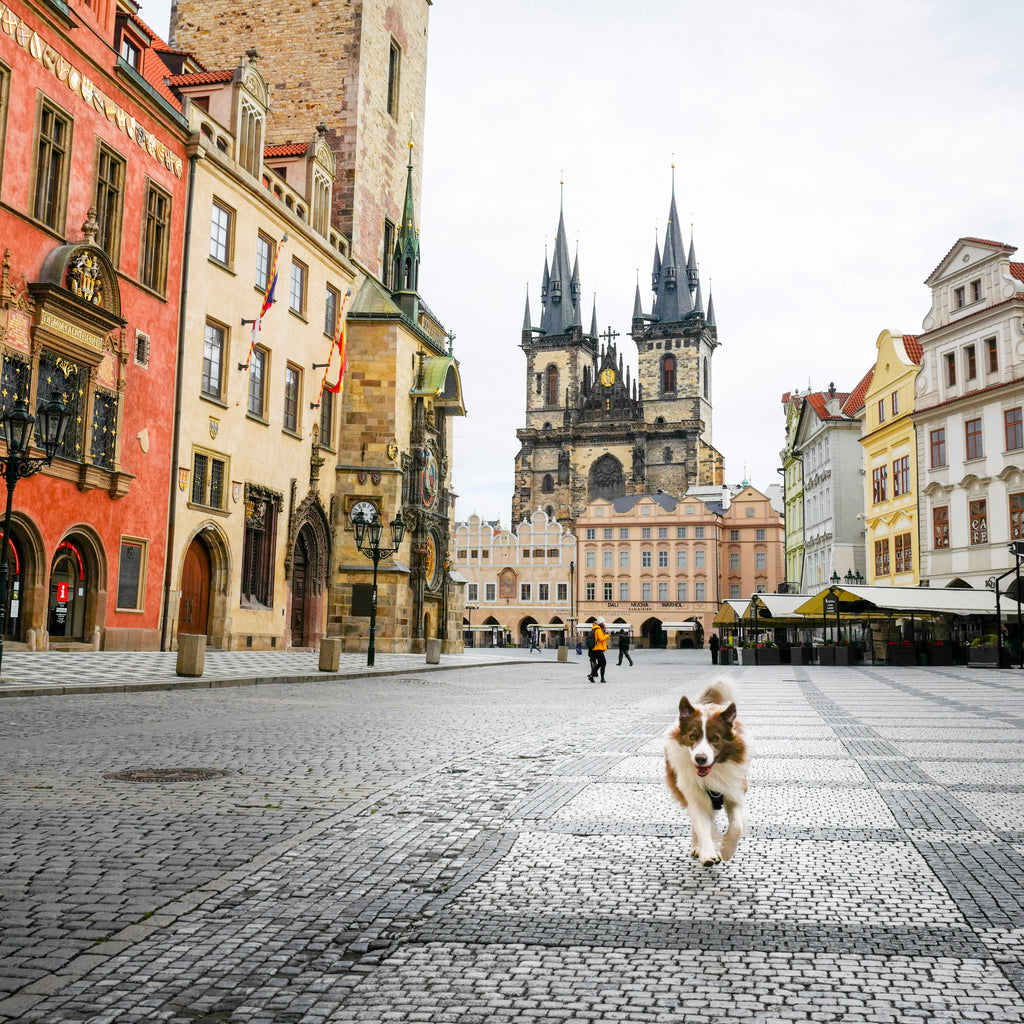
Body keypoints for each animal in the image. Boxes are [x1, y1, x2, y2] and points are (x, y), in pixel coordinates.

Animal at [659, 679, 749, 864]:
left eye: (715, 739)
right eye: (693, 737)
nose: (700, 758)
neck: (713, 773)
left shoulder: (734, 789)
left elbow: (736, 826)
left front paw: (727, 849)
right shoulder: (694, 794)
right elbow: (701, 824)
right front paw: (707, 852)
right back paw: (697, 847)